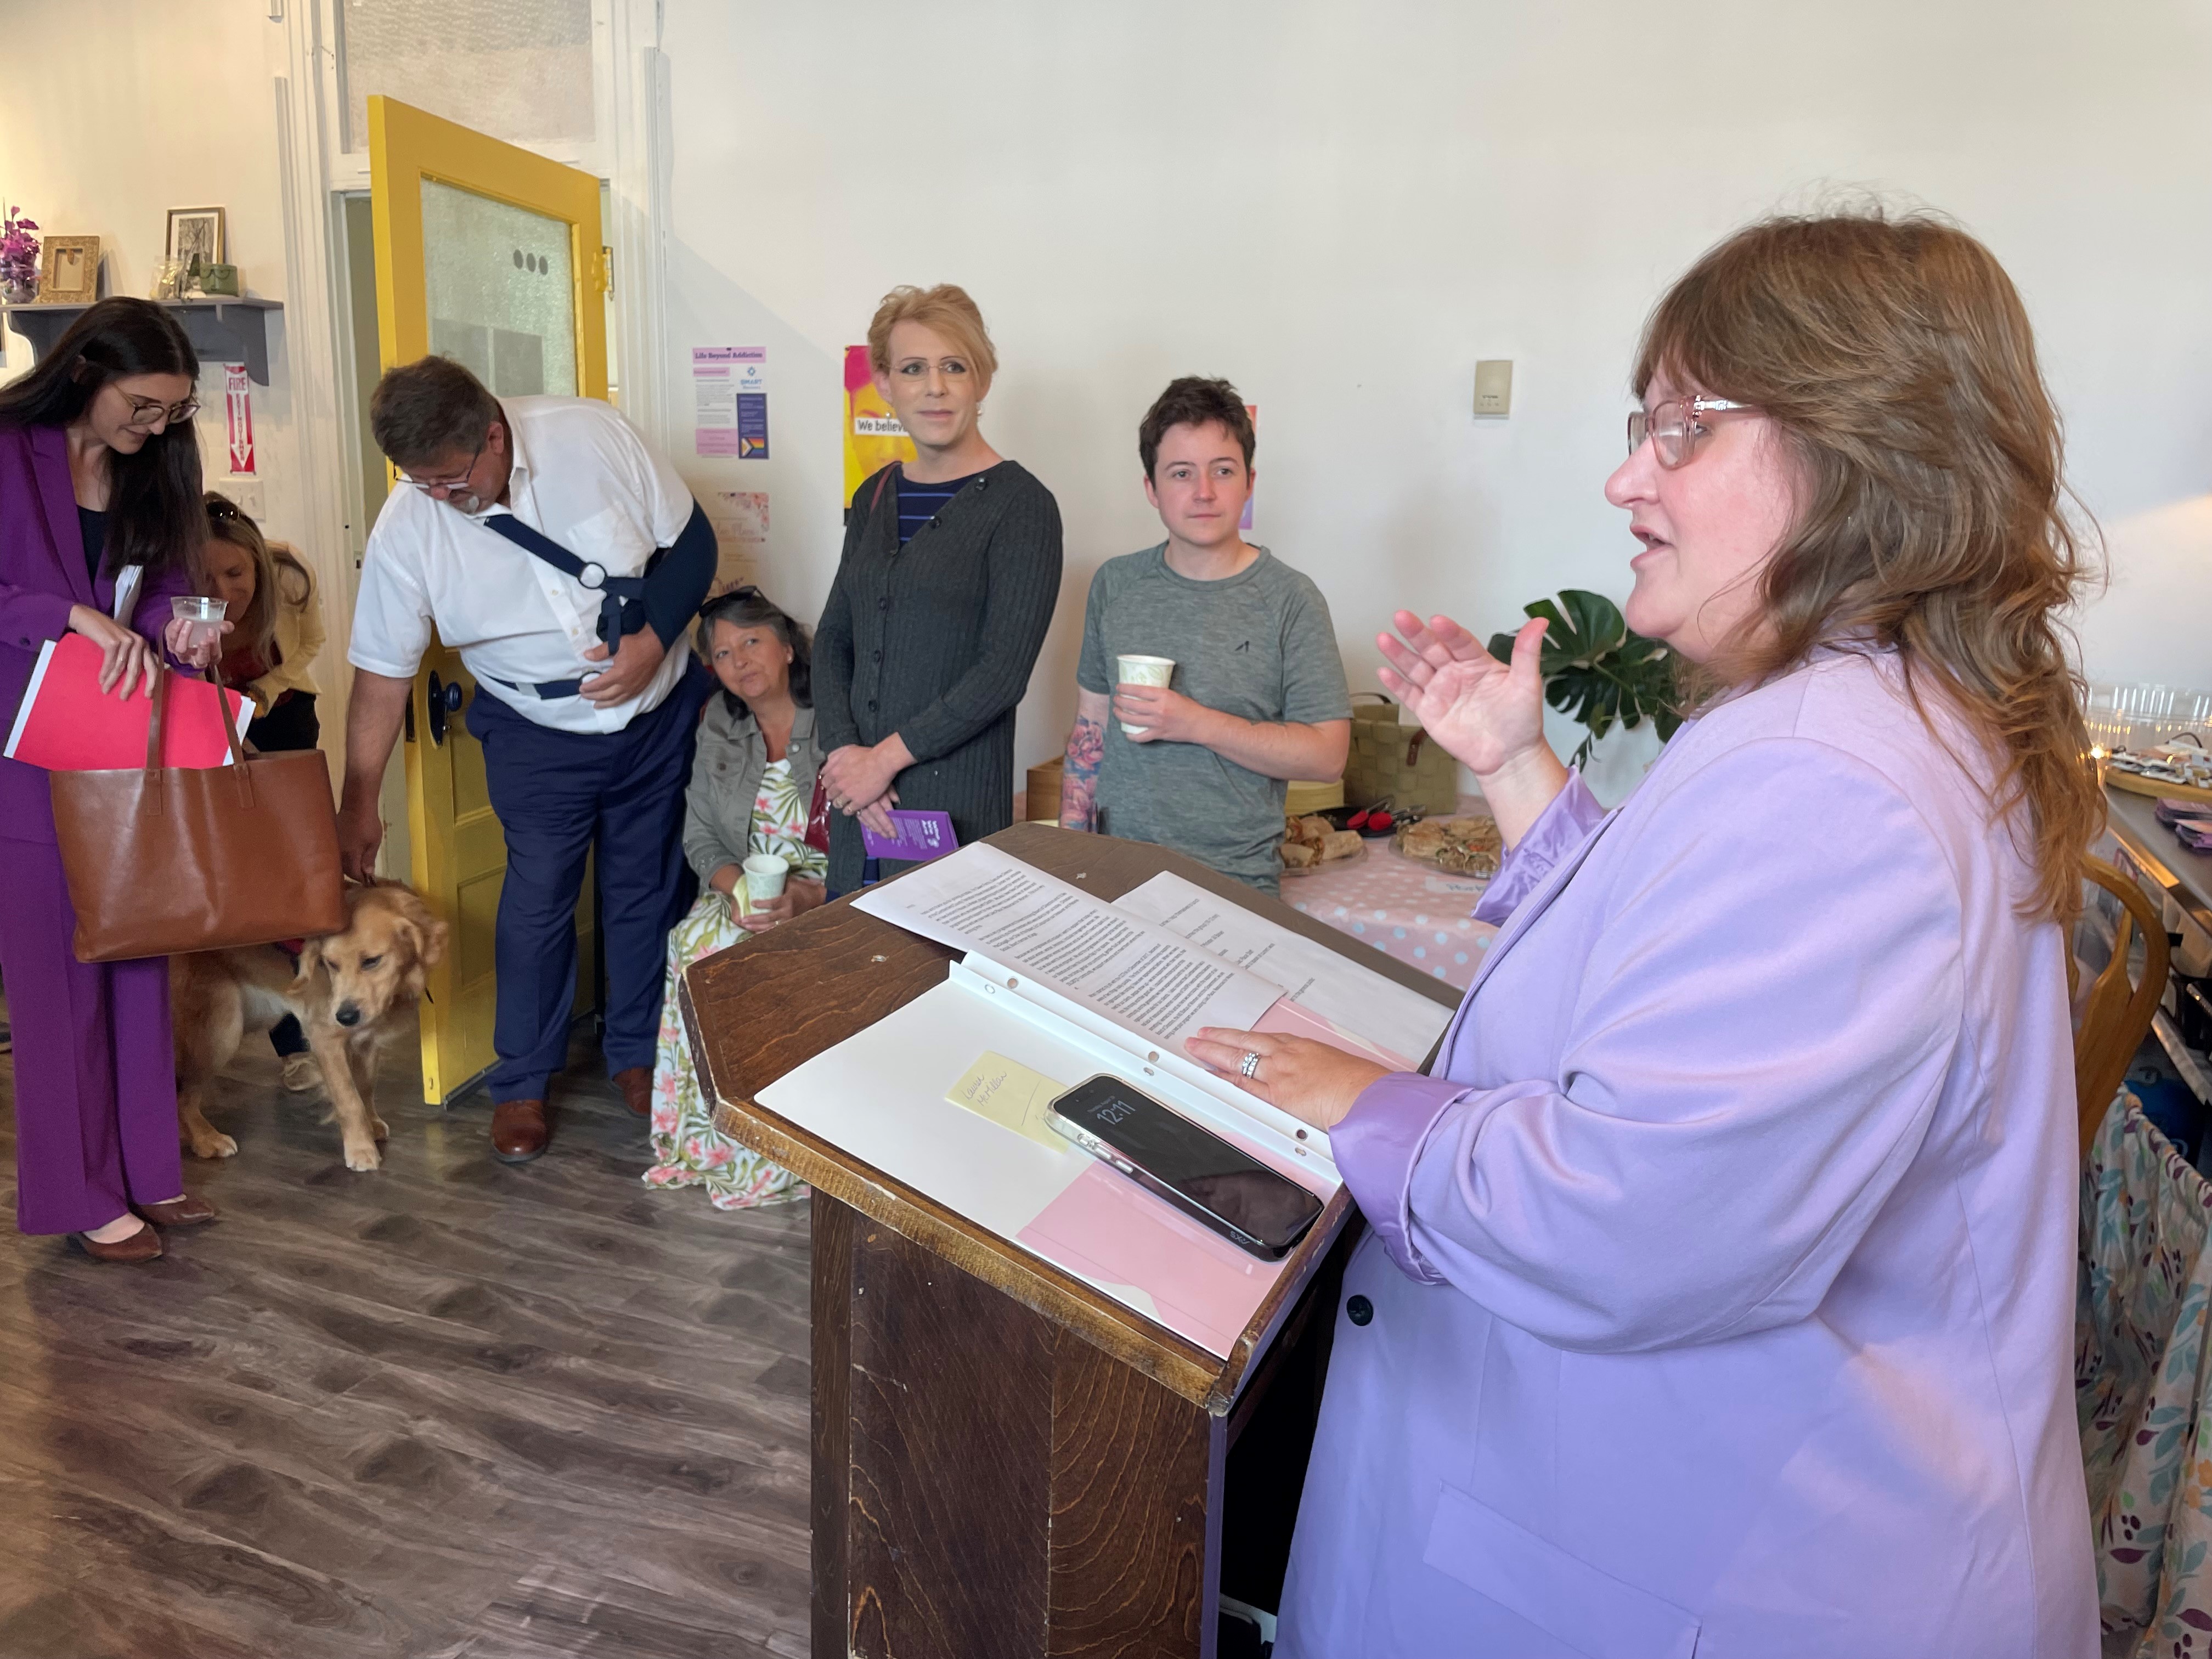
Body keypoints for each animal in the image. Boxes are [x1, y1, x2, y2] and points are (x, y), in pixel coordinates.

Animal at [174, 889, 451, 1177]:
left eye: (372, 961)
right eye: (331, 964)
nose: (345, 1017)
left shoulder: (366, 1040)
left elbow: (365, 1087)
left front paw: (371, 1125)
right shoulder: (325, 1038)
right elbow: (349, 1099)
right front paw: (360, 1150)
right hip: (223, 1028)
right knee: (183, 1096)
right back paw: (207, 1140)